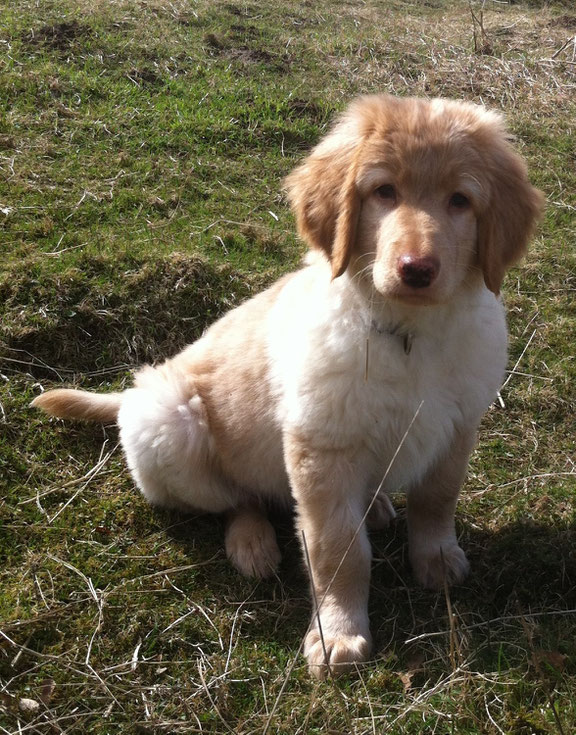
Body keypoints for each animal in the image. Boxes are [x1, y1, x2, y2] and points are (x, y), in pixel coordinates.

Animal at [33, 96, 544, 680]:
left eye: (461, 200)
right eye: (384, 191)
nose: (416, 269)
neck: (409, 334)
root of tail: (141, 389)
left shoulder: (458, 426)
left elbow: (437, 500)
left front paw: (435, 558)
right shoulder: (320, 447)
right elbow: (338, 549)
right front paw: (338, 632)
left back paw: (377, 506)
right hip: (169, 427)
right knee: (237, 498)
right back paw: (251, 543)